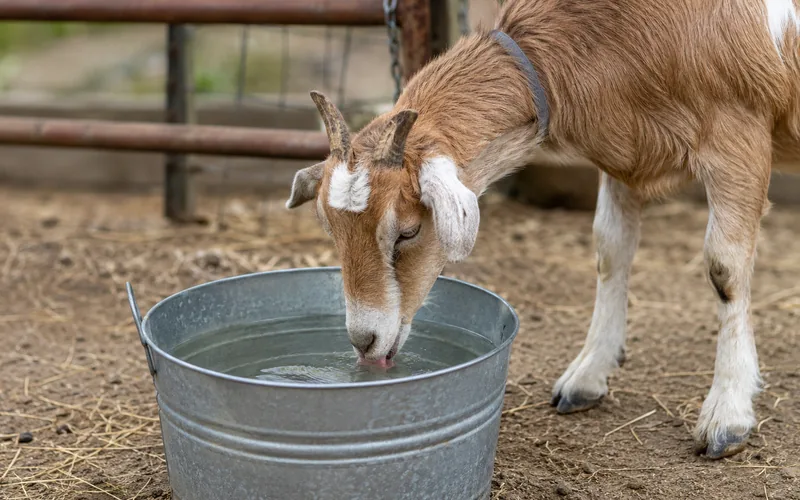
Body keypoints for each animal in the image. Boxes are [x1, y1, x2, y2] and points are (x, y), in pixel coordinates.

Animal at [286, 0, 800, 459]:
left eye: (408, 232)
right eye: (331, 230)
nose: (363, 341)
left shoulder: (738, 135)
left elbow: (724, 268)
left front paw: (727, 417)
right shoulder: (628, 141)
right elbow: (610, 249)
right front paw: (587, 377)